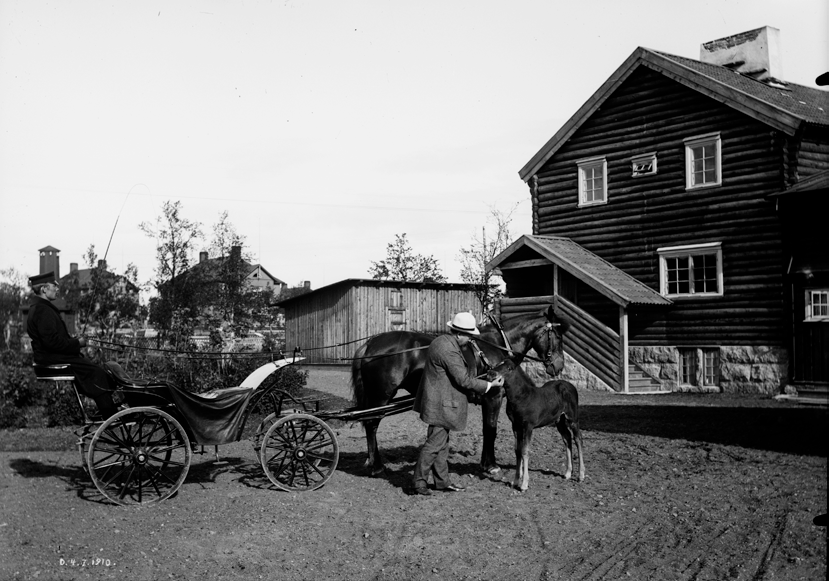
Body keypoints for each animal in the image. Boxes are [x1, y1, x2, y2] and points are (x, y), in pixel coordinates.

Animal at [350, 306, 568, 474]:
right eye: (557, 336)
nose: (559, 366)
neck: (496, 345)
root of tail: (369, 344)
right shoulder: (493, 396)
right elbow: (491, 429)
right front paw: (491, 465)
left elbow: (486, 429)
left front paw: (485, 462)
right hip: (381, 396)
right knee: (371, 424)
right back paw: (377, 466)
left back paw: (371, 460)